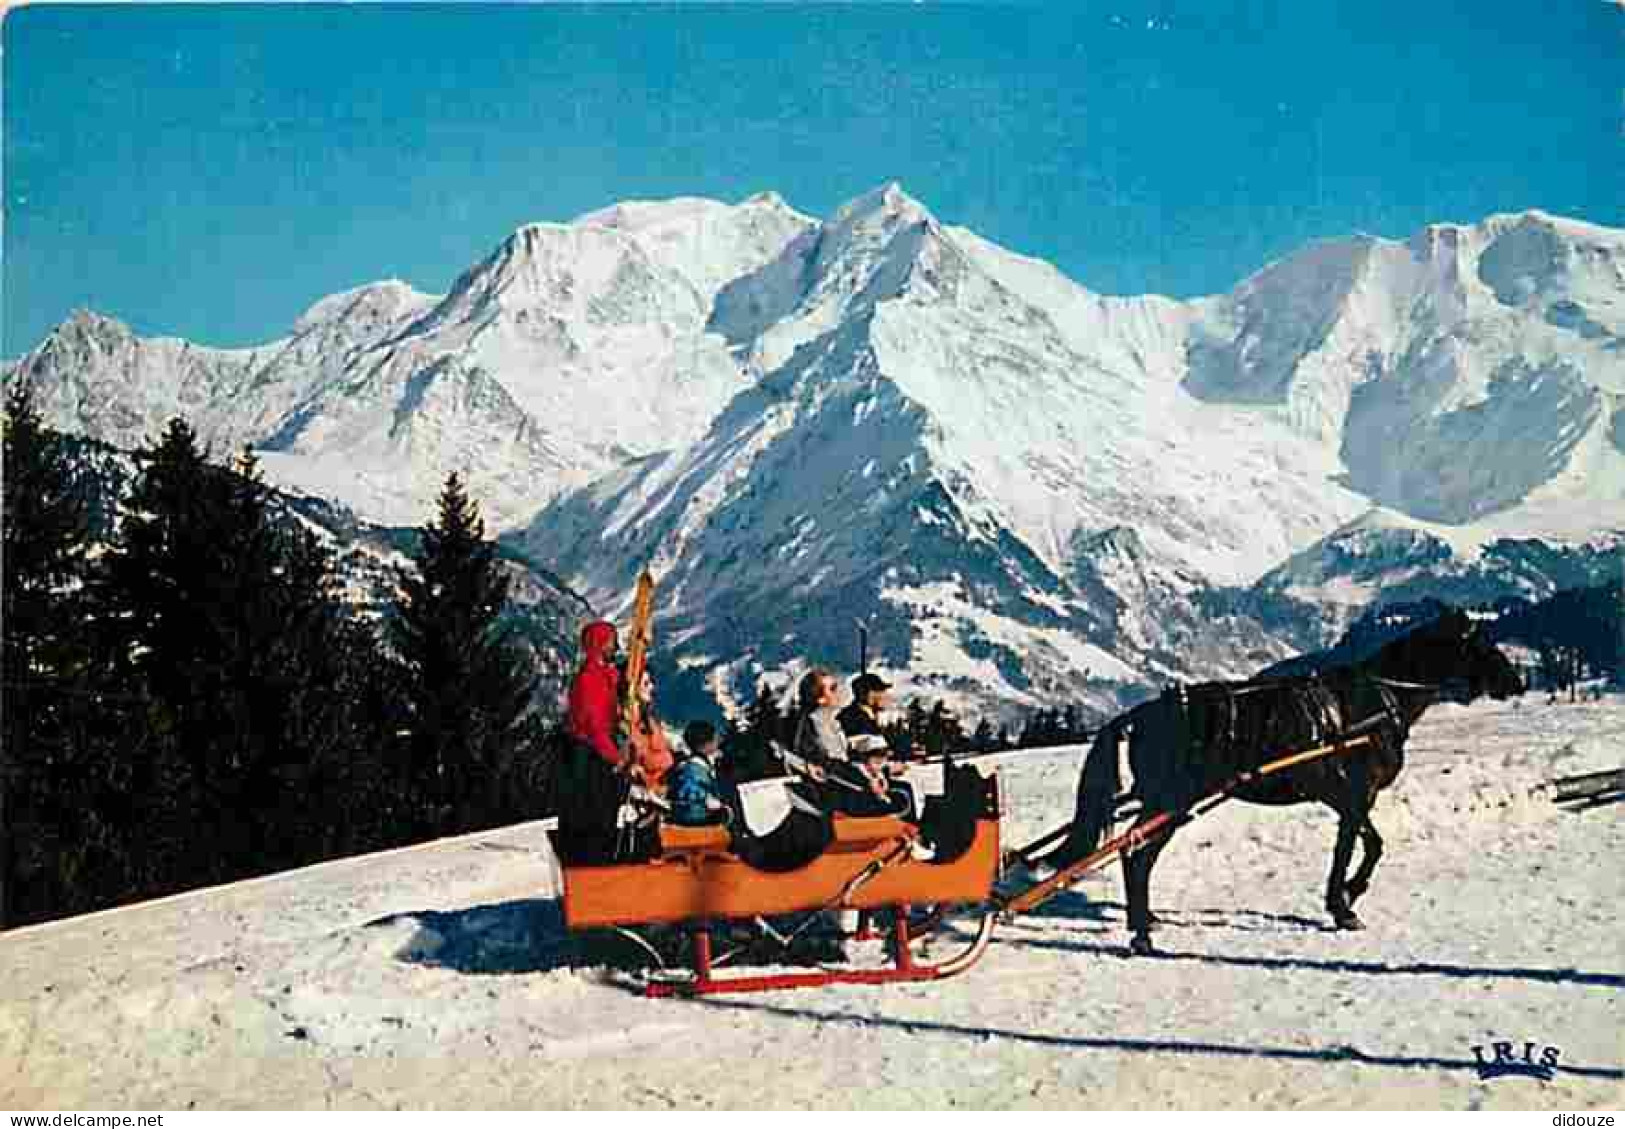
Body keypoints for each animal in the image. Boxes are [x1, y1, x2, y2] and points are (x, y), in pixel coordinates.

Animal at [1040, 610, 1521, 955]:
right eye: (1482, 643)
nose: (1516, 682)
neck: (1376, 701)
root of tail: (1140, 714)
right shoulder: (1354, 794)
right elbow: (1356, 848)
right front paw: (1344, 903)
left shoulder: (1347, 798)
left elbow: (1367, 844)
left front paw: (1345, 896)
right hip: (1169, 803)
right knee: (1136, 857)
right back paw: (1141, 933)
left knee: (1134, 856)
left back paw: (1146, 920)